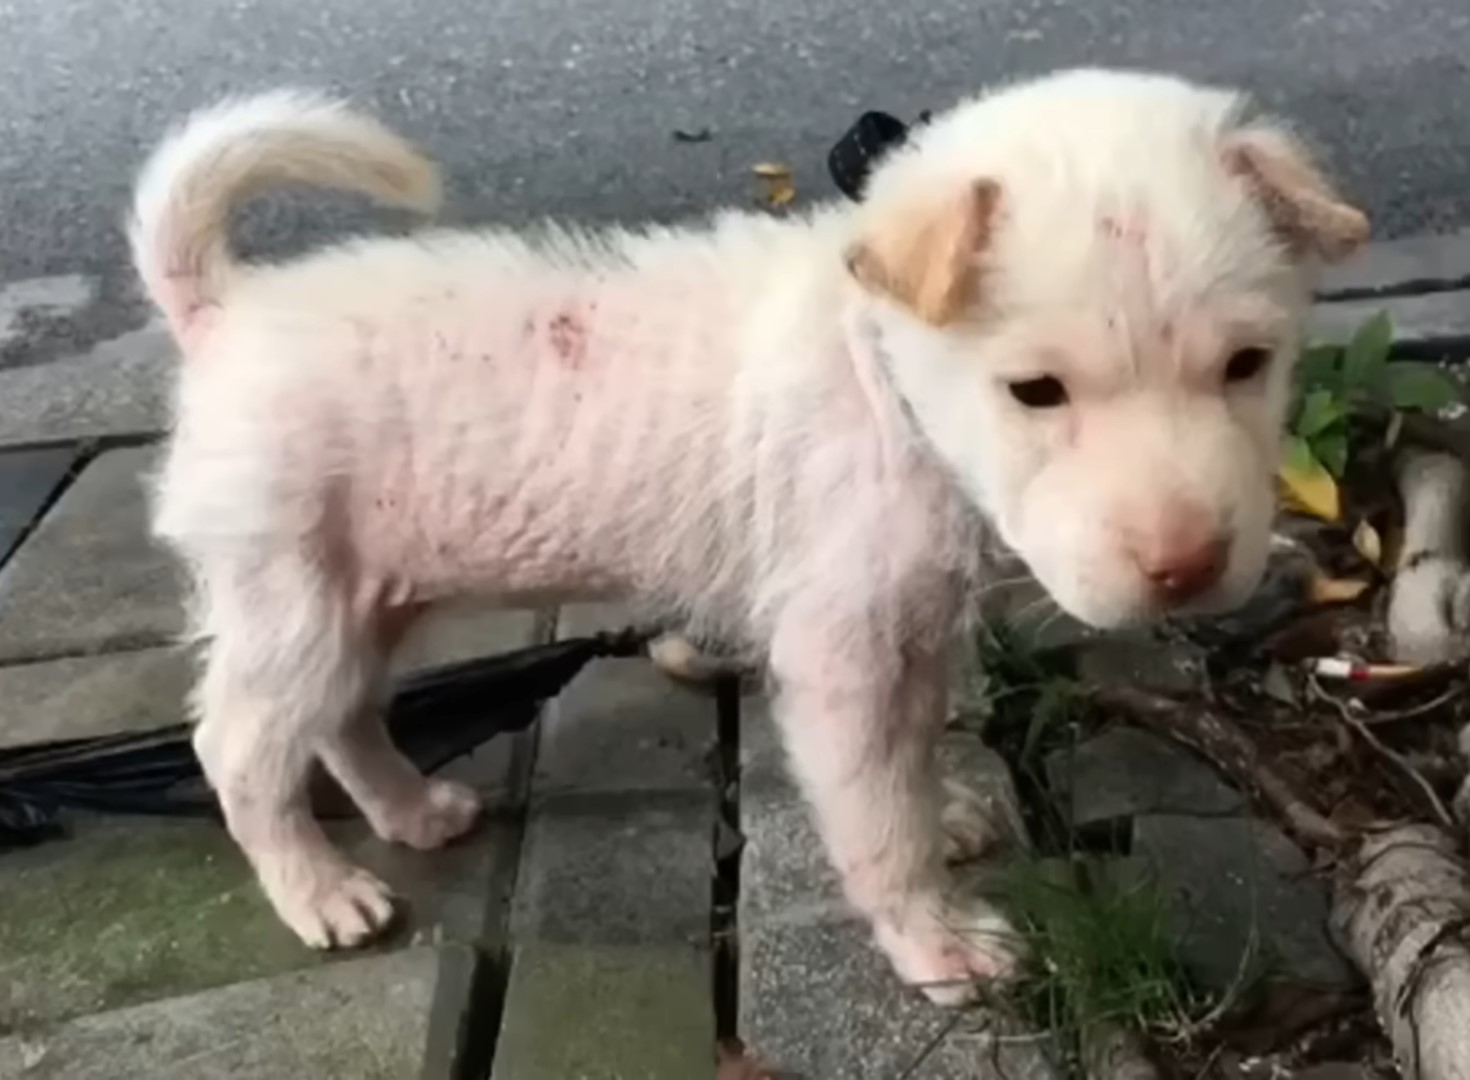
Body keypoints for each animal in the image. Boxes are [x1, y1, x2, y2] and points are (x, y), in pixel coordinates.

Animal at [126, 69, 1364, 1005]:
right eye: (1035, 391)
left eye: (1248, 365)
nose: (1186, 571)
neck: (881, 381)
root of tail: (223, 311)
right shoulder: (839, 650)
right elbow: (876, 813)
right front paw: (936, 940)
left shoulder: (916, 622)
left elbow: (915, 754)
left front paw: (951, 814)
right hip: (289, 591)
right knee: (239, 746)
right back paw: (319, 891)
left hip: (370, 591)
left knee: (339, 714)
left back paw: (412, 812)